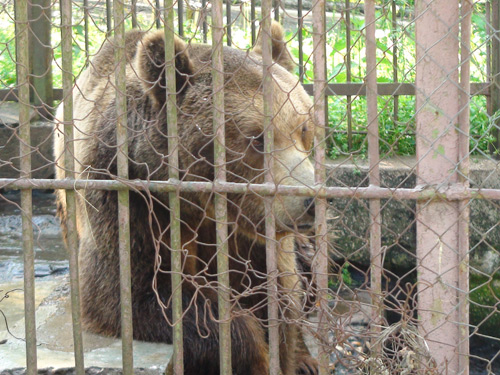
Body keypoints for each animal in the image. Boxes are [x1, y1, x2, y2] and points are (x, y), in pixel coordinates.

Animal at [54, 22, 318, 374]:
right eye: (256, 139)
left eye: (303, 127)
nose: (309, 201)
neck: (201, 203)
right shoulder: (126, 195)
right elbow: (130, 294)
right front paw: (252, 355)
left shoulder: (252, 229)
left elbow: (279, 295)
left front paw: (286, 354)